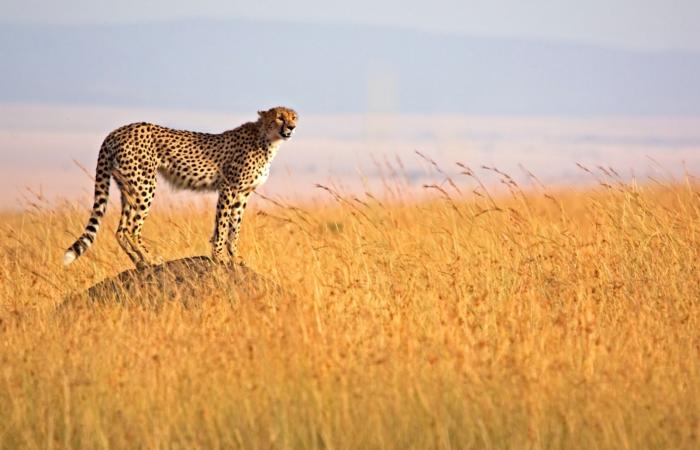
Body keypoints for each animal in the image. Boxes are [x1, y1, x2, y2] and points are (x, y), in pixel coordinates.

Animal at [62, 106, 297, 268]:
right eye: (279, 117)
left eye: (293, 117)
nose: (292, 127)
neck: (267, 140)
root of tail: (118, 130)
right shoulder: (229, 188)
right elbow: (223, 225)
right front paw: (219, 257)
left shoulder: (242, 194)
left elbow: (233, 228)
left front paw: (235, 257)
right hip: (145, 184)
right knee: (131, 228)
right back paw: (150, 259)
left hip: (128, 186)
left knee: (121, 229)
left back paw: (139, 262)